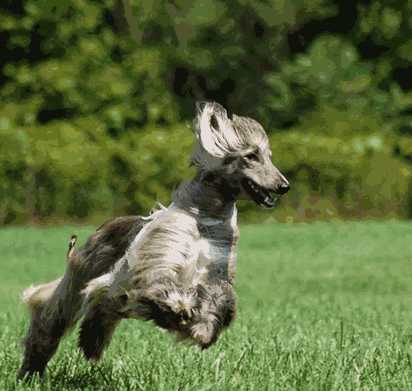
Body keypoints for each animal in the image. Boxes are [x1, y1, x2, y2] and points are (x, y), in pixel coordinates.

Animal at [16, 101, 290, 380]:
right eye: (251, 155)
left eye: (268, 156)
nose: (284, 186)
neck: (205, 218)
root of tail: (106, 225)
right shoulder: (159, 258)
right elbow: (158, 285)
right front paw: (180, 309)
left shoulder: (215, 269)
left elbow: (219, 301)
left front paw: (201, 329)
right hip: (81, 274)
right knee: (52, 313)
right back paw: (32, 368)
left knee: (102, 308)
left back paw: (91, 342)